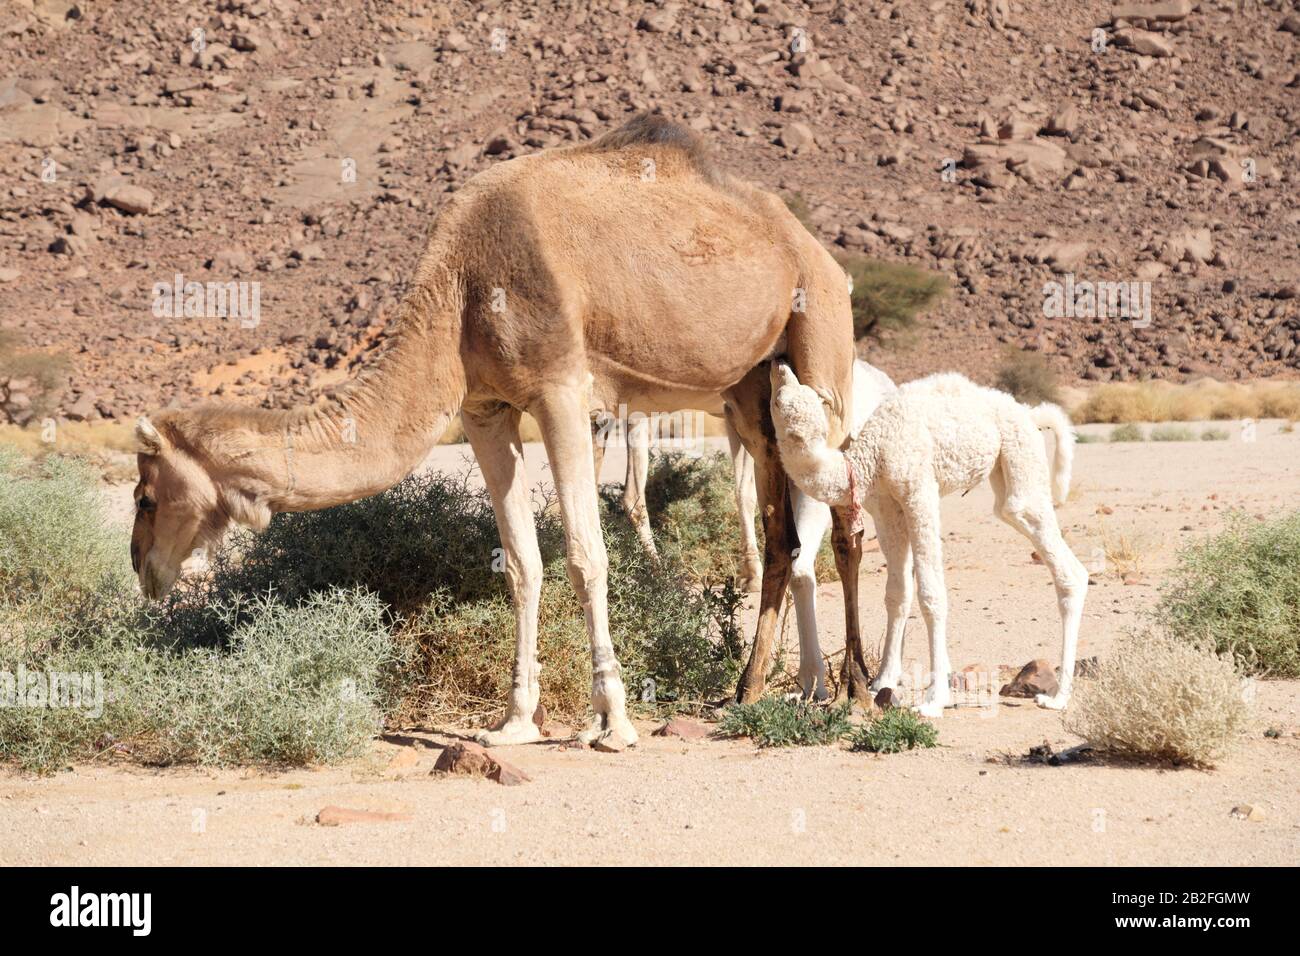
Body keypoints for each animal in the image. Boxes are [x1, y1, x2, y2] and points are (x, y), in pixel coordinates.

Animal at [129, 115, 873, 749]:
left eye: (145, 495)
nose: (142, 567)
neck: (458, 289)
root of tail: (821, 254)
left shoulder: (562, 389)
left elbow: (584, 554)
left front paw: (614, 722)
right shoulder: (485, 409)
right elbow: (521, 562)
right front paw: (515, 722)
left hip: (821, 341)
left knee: (844, 517)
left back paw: (859, 692)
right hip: (749, 390)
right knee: (780, 530)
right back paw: (748, 690)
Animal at [769, 361, 1086, 712]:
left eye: (778, 401)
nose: (779, 366)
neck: (870, 455)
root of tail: (1030, 413)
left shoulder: (919, 492)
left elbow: (931, 595)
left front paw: (935, 699)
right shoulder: (886, 508)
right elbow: (896, 593)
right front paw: (882, 681)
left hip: (1021, 454)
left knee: (1065, 564)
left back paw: (1058, 698)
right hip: (1006, 474)